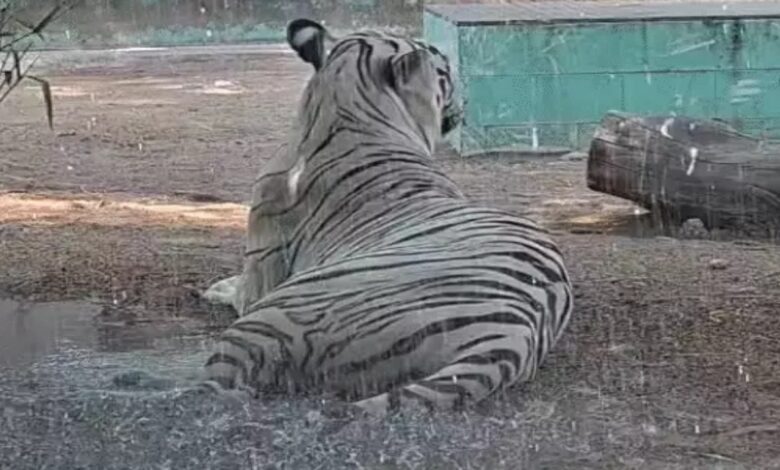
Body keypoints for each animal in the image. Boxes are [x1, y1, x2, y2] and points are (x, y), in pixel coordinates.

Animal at [200, 18, 574, 416]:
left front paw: (217, 287)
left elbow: (239, 288)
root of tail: (513, 333)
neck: (344, 104)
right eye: (445, 71)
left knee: (212, 388)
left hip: (267, 318)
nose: (468, 99)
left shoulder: (261, 272)